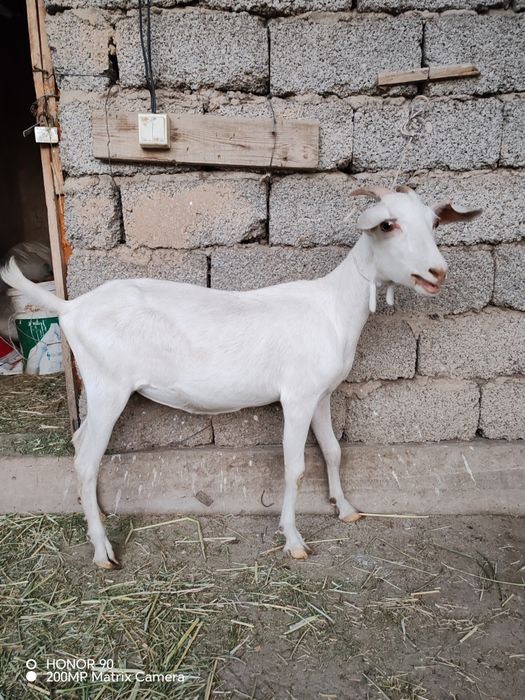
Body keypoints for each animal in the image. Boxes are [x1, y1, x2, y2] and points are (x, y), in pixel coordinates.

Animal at [0, 186, 481, 568]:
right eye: (387, 224)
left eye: (434, 222)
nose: (437, 272)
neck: (333, 306)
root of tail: (70, 307)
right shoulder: (296, 397)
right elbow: (294, 467)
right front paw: (294, 540)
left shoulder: (322, 394)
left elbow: (333, 451)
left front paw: (345, 508)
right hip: (108, 388)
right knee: (86, 460)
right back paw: (103, 552)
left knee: (80, 444)